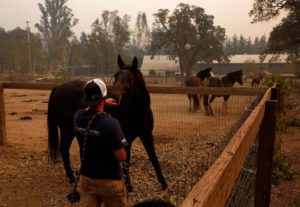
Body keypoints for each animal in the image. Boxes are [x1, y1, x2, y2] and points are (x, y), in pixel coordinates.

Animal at [48, 55, 168, 192]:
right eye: (115, 76)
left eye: (130, 78)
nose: (114, 97)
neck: (138, 110)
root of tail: (58, 88)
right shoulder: (126, 139)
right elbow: (126, 162)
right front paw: (129, 186)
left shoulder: (147, 135)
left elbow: (154, 158)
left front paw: (164, 184)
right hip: (66, 130)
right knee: (63, 149)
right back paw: (72, 178)